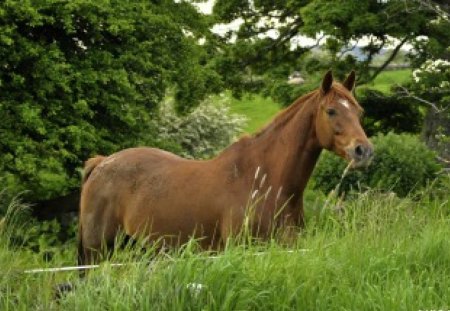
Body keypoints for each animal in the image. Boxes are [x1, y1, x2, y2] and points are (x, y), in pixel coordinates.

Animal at [77, 70, 372, 266]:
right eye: (331, 111)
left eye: (359, 111)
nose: (364, 151)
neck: (266, 181)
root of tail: (102, 163)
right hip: (98, 252)